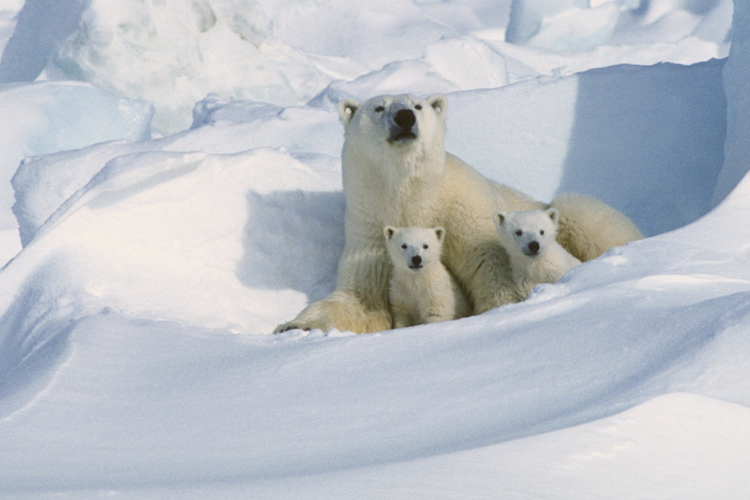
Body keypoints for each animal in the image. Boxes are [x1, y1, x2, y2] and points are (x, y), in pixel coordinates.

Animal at [274, 93, 643, 334]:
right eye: (379, 107)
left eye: (418, 105)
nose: (404, 117)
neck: (411, 198)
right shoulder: (371, 233)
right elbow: (361, 299)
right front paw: (294, 325)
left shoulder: (464, 213)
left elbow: (491, 266)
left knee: (579, 212)